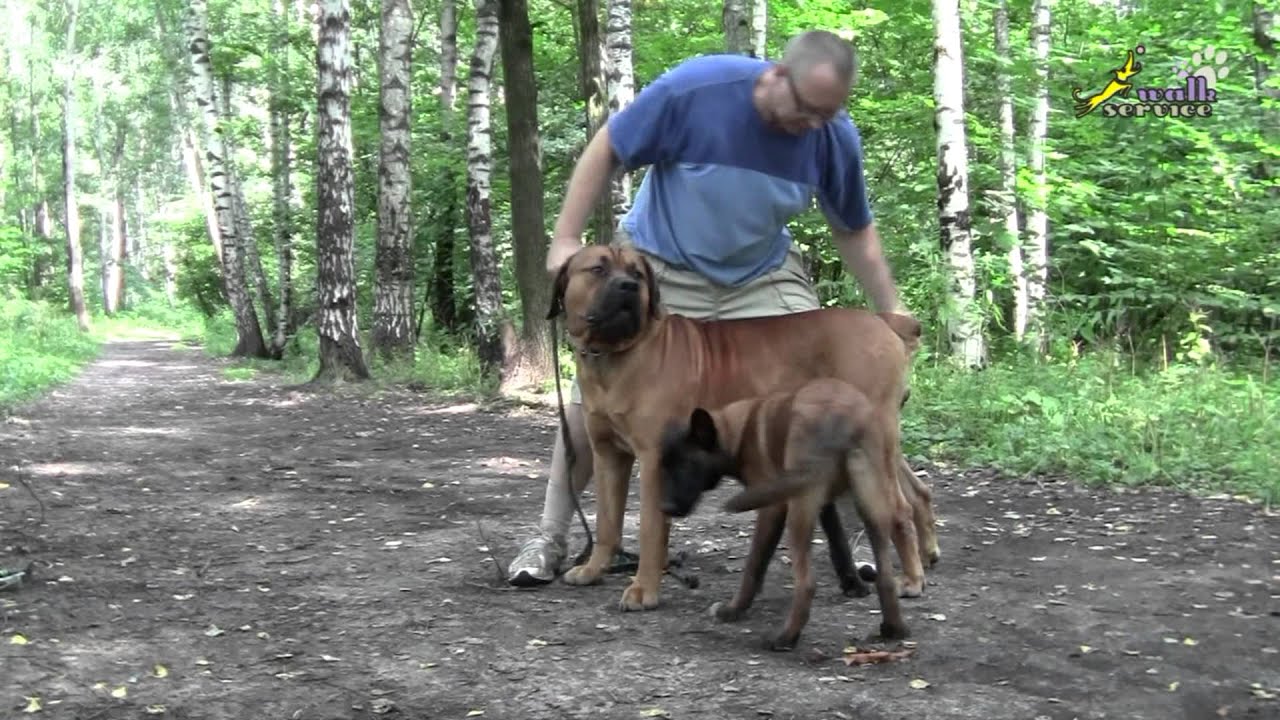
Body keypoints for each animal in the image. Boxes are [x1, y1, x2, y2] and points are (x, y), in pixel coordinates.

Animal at [660, 376, 921, 645]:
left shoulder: (773, 508)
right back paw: (894, 628)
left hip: (800, 510)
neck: (740, 431)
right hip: (872, 504)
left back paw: (784, 638)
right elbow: (838, 542)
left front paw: (733, 610)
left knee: (806, 583)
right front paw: (853, 585)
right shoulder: (824, 501)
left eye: (686, 466)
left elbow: (754, 565)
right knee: (885, 575)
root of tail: (839, 417)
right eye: (665, 467)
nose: (665, 508)